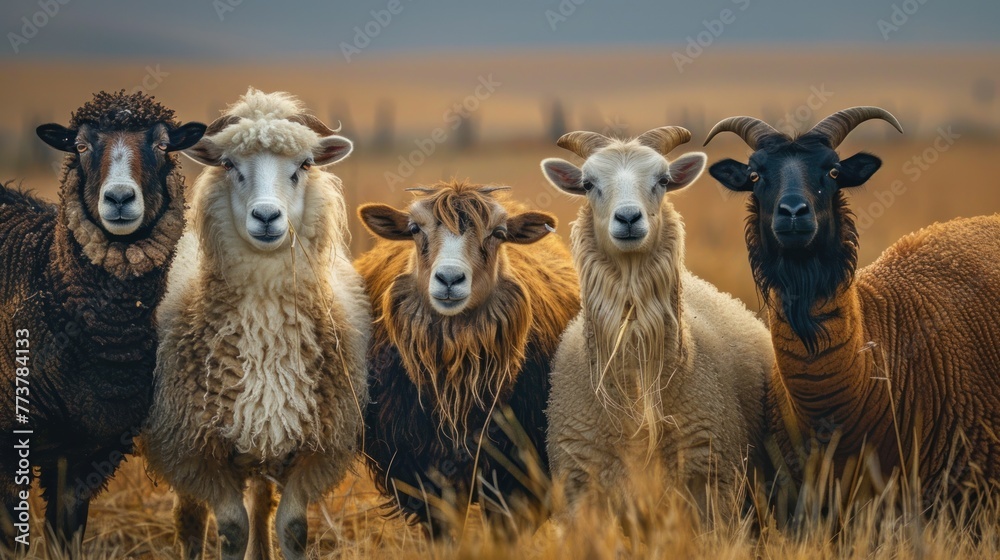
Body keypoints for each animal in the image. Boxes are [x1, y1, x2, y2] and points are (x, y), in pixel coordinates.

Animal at [142, 88, 368, 560]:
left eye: (304, 165)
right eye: (229, 164)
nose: (266, 217)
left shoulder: (317, 448)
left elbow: (294, 527)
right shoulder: (195, 450)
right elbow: (230, 529)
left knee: (262, 503)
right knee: (190, 519)